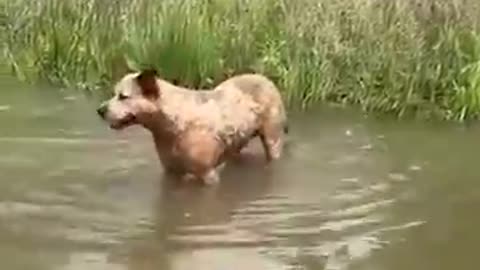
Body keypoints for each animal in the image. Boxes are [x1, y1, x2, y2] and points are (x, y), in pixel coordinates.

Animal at [95, 68, 286, 185]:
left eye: (123, 96)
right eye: (114, 93)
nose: (100, 110)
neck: (170, 127)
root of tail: (265, 79)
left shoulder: (207, 174)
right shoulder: (171, 172)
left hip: (273, 139)